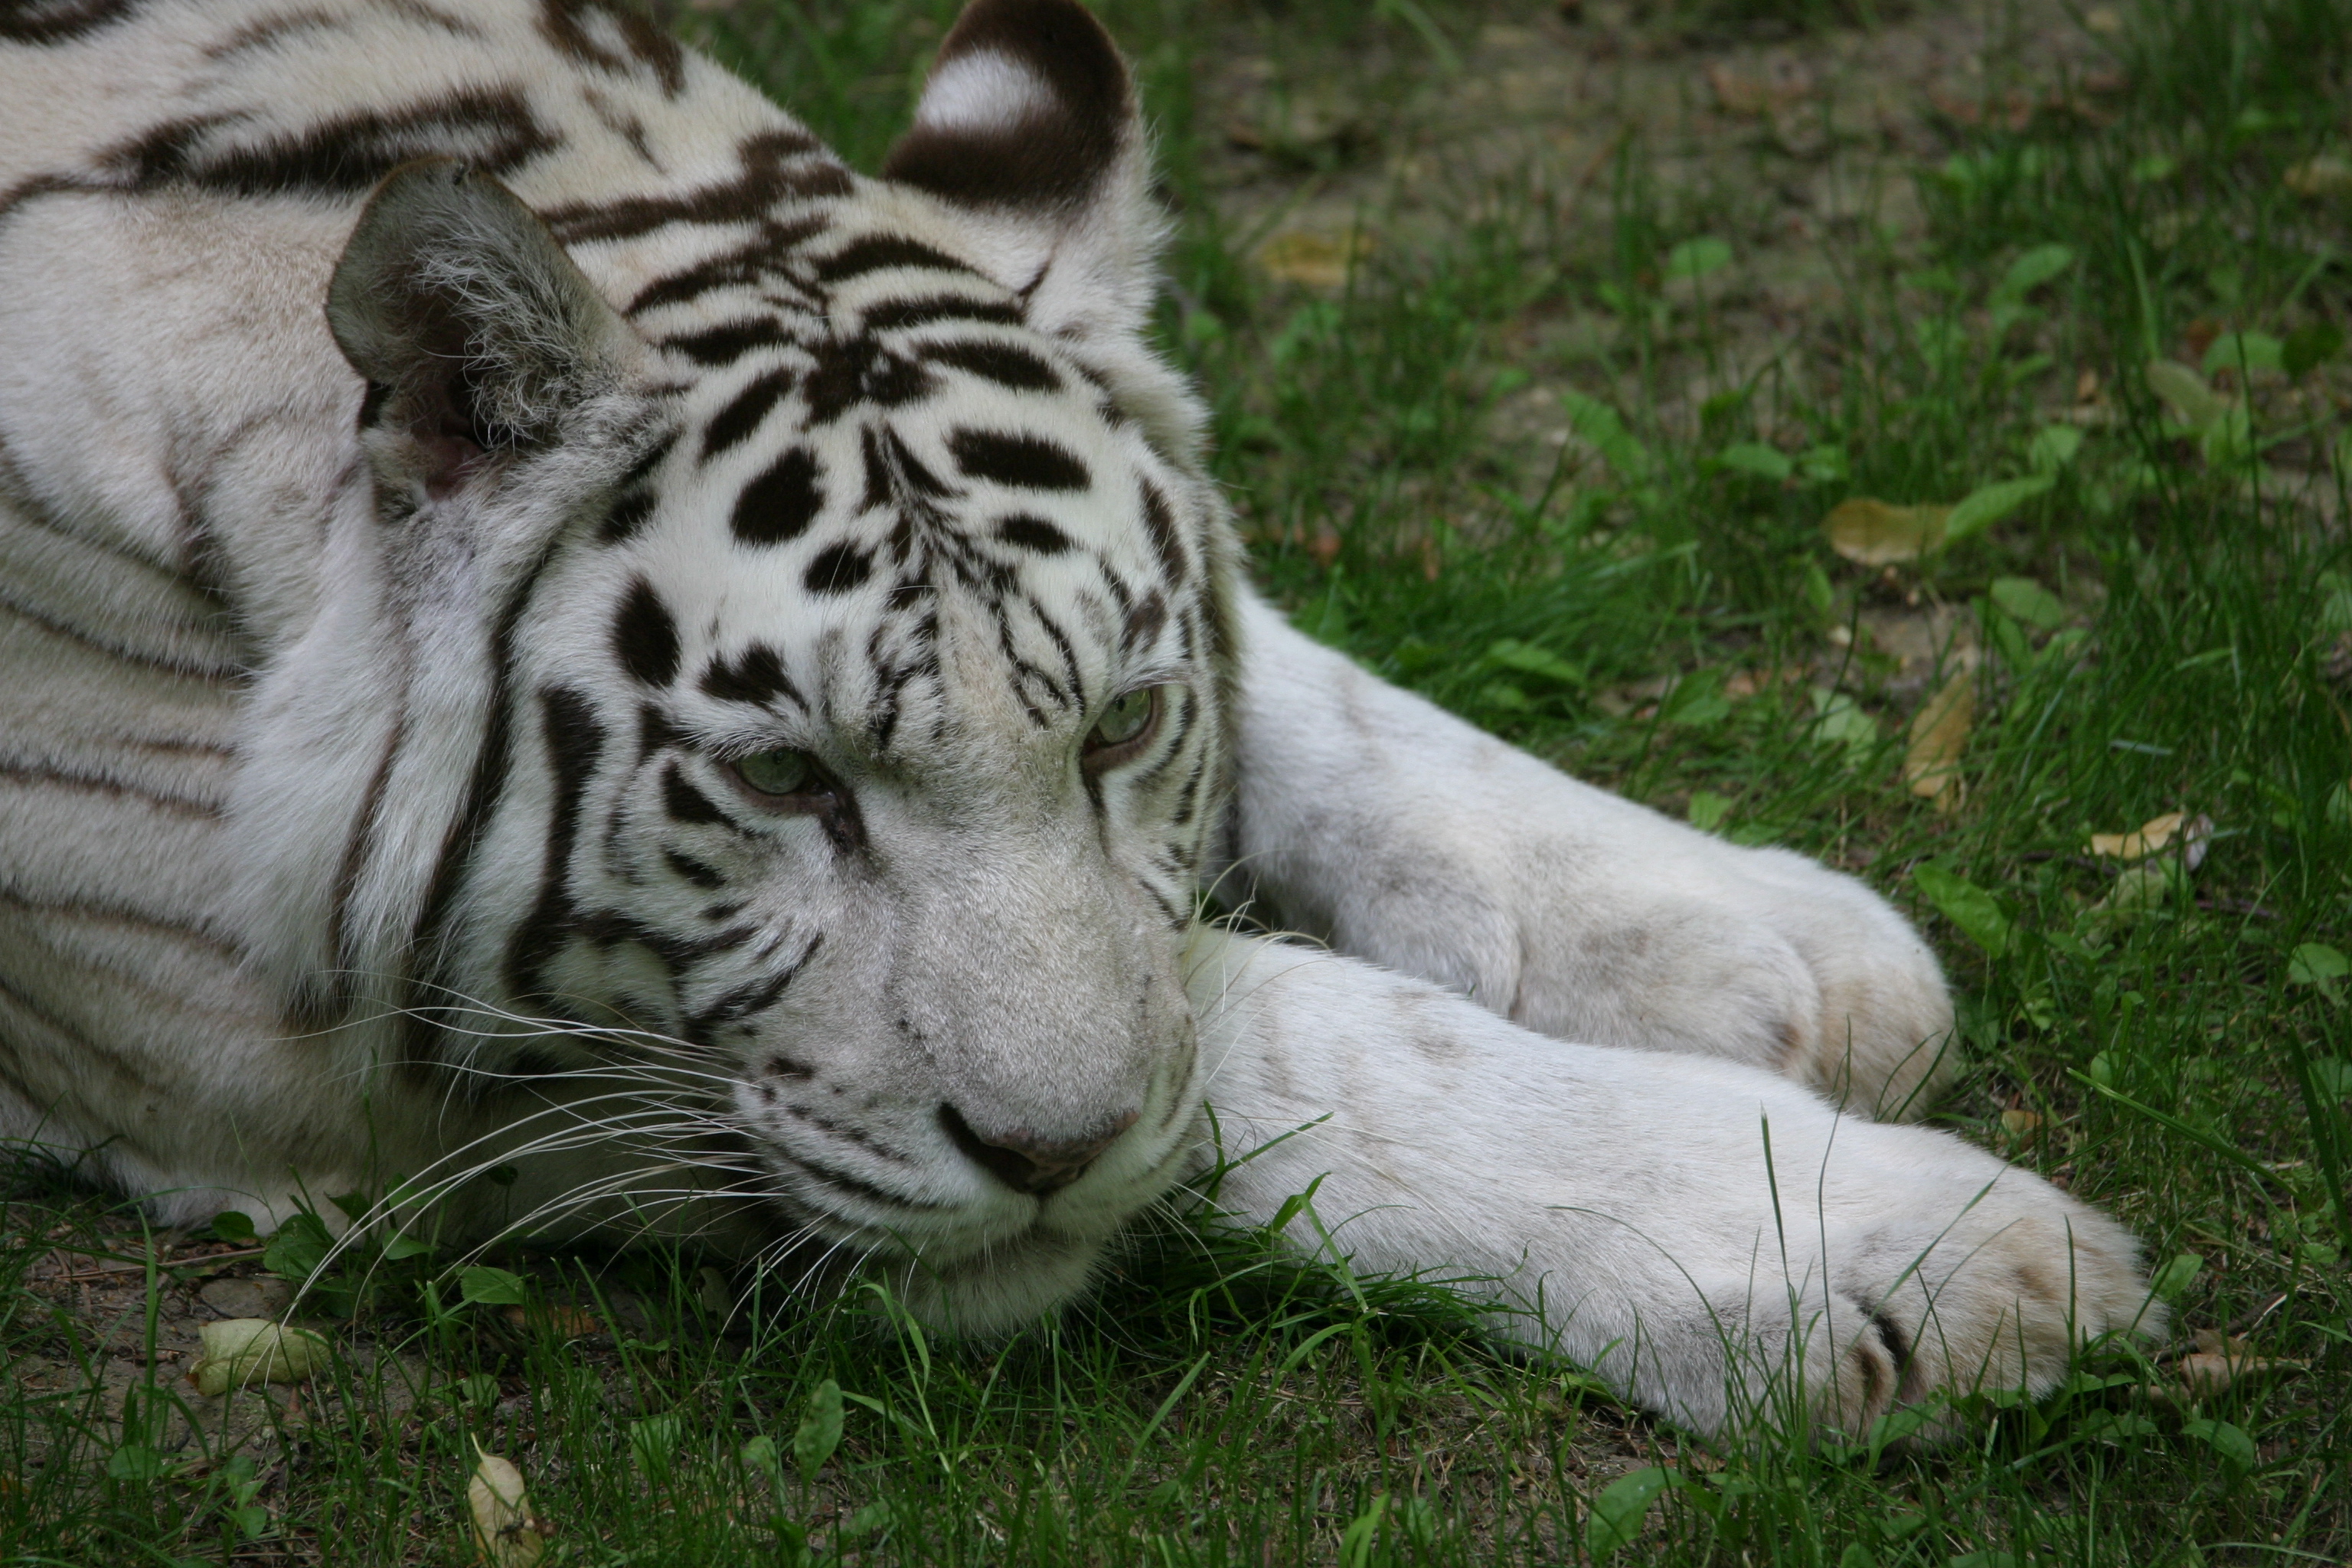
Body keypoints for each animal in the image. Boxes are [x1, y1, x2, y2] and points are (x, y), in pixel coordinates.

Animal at [0, 0, 2154, 1439]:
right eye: (780, 778)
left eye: (1118, 728)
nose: (1048, 1157)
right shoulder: (249, 1024)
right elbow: (1270, 1023)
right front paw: (1885, 1248)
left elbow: (1309, 697)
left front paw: (1766, 947)